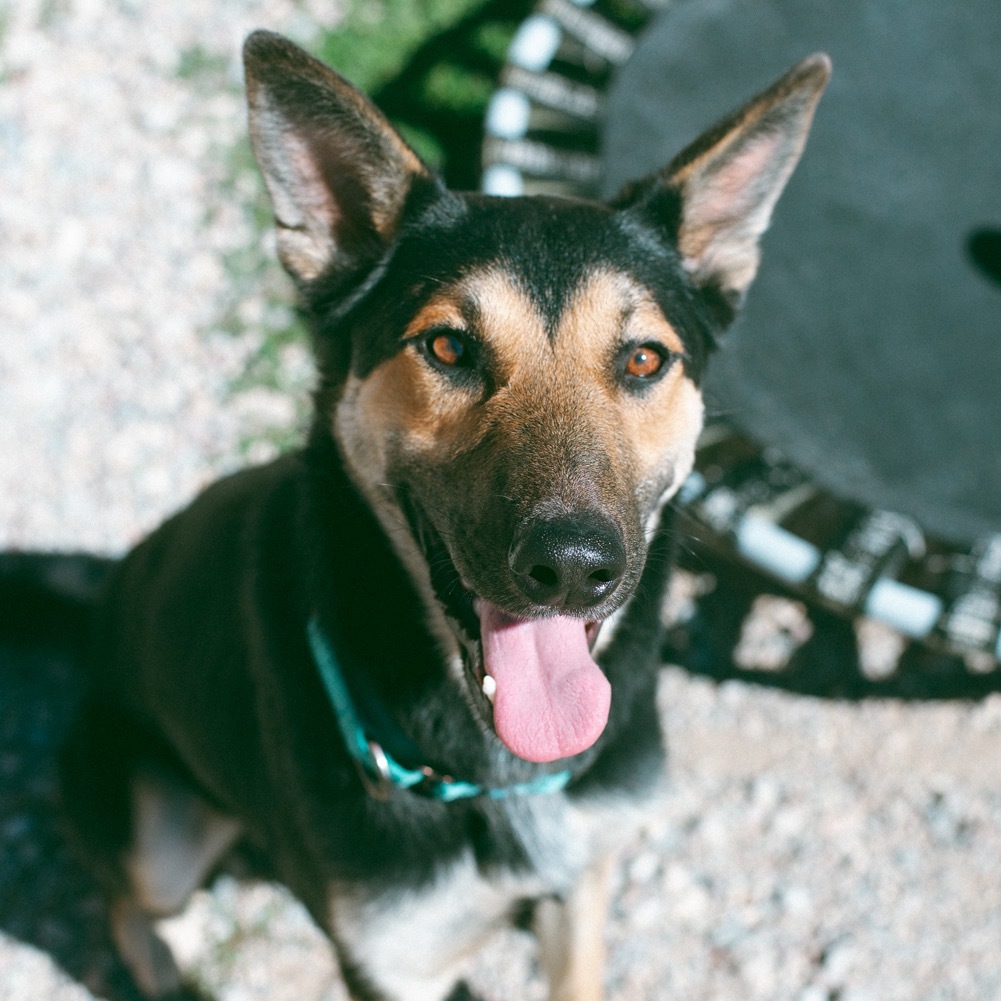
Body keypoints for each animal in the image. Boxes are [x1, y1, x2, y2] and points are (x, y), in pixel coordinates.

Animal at [29, 33, 828, 1001]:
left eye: (643, 359)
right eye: (447, 346)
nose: (571, 567)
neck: (492, 774)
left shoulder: (582, 877)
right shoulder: (392, 958)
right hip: (157, 833)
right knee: (124, 902)